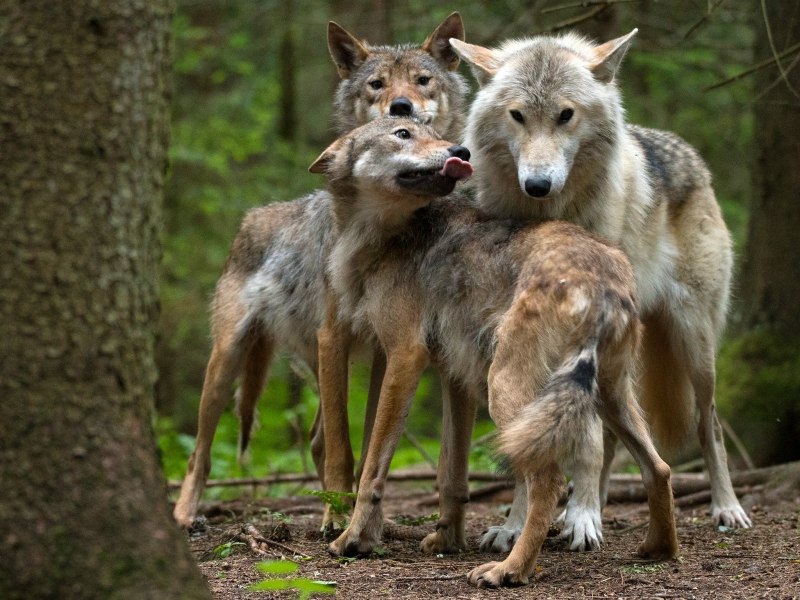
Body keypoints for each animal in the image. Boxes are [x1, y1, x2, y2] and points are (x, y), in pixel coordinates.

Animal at [172, 13, 468, 530]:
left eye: (422, 80)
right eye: (377, 85)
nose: (402, 105)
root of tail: (252, 217)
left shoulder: (387, 348)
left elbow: (369, 443)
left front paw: (361, 516)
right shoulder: (334, 335)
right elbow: (342, 448)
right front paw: (337, 516)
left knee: (313, 439)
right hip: (227, 359)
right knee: (202, 450)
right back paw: (187, 512)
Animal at [311, 116, 679, 587]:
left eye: (428, 131)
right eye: (402, 134)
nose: (460, 151)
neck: (384, 234)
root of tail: (601, 279)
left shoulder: (405, 357)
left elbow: (374, 467)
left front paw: (353, 539)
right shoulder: (453, 377)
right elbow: (451, 472)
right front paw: (446, 541)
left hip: (505, 390)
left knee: (549, 479)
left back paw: (511, 569)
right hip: (604, 397)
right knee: (659, 468)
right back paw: (659, 550)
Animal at [449, 30, 750, 552]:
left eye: (566, 115)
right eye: (517, 115)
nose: (538, 184)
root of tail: (686, 150)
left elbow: (583, 439)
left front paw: (580, 518)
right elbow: (530, 441)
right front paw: (516, 525)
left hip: (694, 347)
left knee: (707, 423)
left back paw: (723, 506)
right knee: (610, 435)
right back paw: (596, 505)